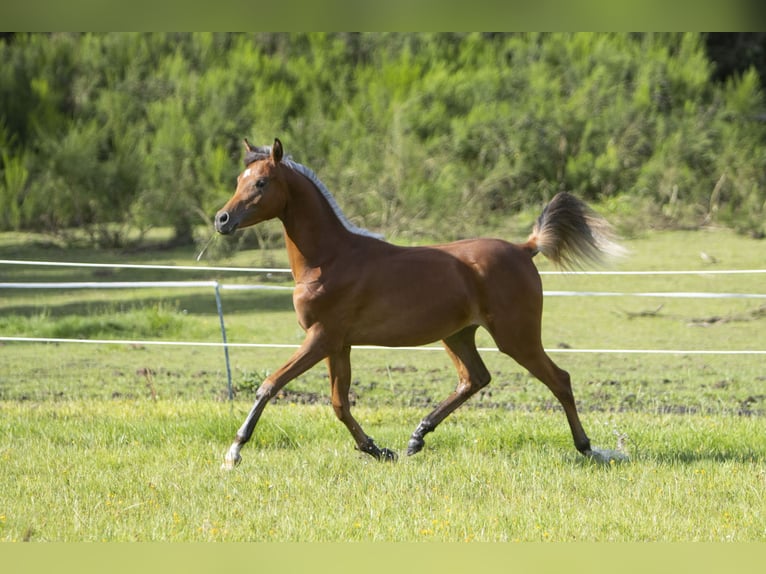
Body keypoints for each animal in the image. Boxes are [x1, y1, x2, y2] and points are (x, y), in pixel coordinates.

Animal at [214, 141, 624, 472]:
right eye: (238, 179)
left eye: (261, 183)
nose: (222, 219)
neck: (329, 259)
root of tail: (525, 249)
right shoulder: (338, 344)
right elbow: (339, 403)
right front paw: (378, 450)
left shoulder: (321, 338)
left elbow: (270, 385)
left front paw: (233, 453)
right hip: (458, 335)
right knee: (475, 378)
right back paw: (417, 437)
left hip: (516, 337)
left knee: (559, 380)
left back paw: (590, 449)